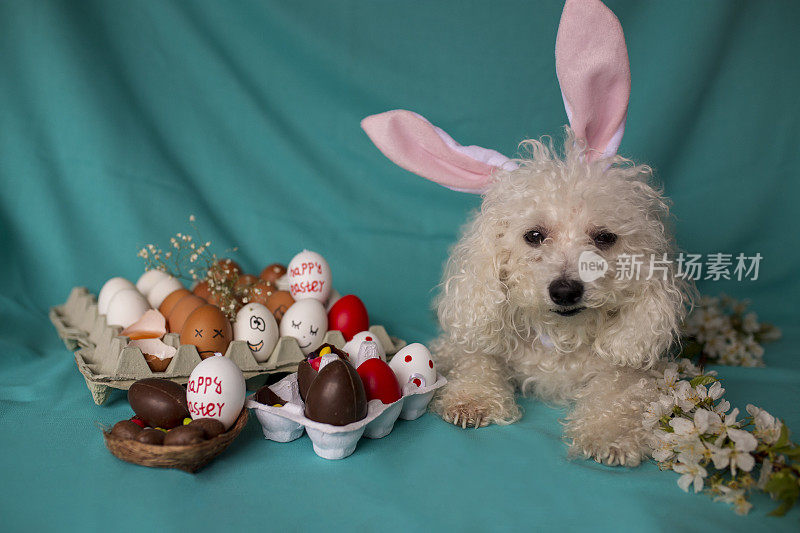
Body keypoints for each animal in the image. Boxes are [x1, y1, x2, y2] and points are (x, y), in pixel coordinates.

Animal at [362, 0, 688, 466]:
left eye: (605, 238)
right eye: (534, 236)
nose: (565, 290)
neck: (559, 340)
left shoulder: (629, 369)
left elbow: (616, 392)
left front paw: (608, 433)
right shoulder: (475, 337)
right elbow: (477, 359)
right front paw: (474, 399)